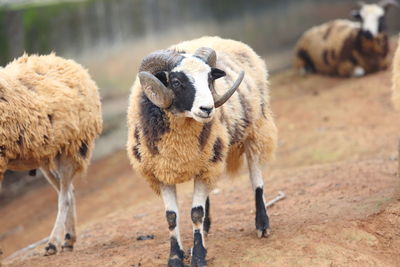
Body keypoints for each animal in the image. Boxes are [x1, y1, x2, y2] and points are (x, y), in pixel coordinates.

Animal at [0, 53, 103, 256]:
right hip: (45, 156)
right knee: (69, 191)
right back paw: (68, 239)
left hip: (72, 147)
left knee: (64, 196)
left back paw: (53, 243)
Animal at [126, 36, 276, 267]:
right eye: (176, 82)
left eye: (209, 79)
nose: (207, 109)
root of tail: (231, 41)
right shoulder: (161, 173)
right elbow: (171, 217)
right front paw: (175, 258)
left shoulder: (207, 164)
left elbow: (196, 213)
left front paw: (198, 257)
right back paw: (206, 230)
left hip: (253, 130)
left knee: (255, 178)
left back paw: (262, 224)